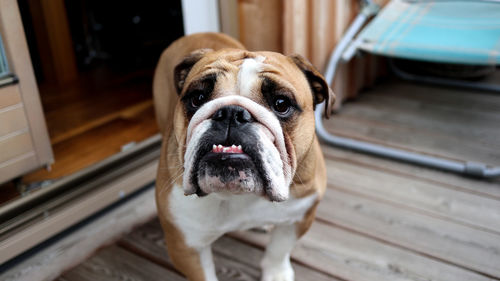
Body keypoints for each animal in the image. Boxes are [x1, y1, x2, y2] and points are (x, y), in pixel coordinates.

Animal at [152, 33, 332, 280]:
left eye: (281, 104)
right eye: (197, 98)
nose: (231, 112)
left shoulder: (300, 214)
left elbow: (279, 248)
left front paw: (276, 273)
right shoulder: (186, 245)